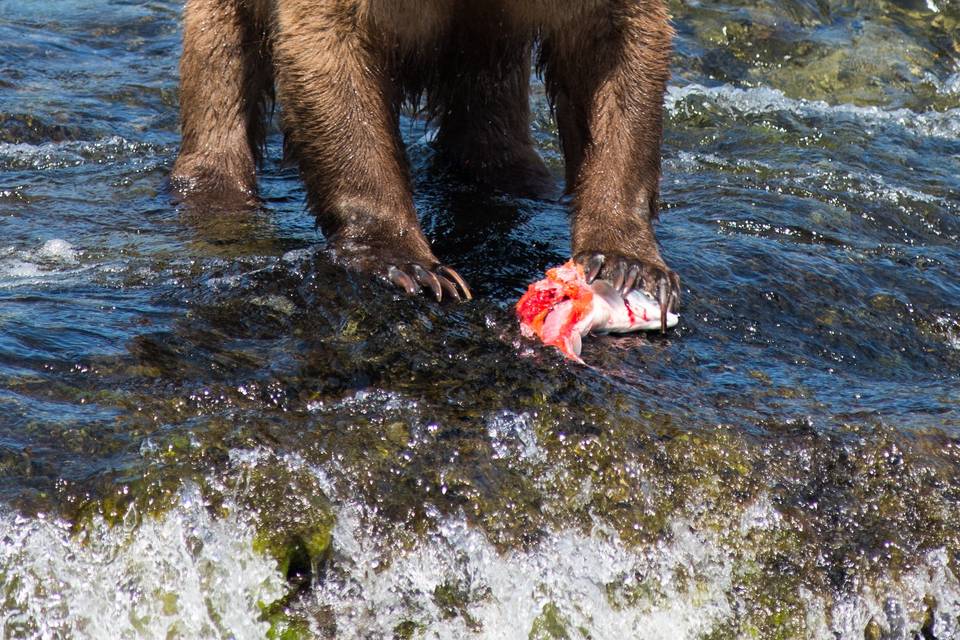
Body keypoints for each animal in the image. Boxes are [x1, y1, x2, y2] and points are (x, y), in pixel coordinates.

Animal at [174, 0, 684, 318]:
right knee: (219, 56)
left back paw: (514, 172)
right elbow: (329, 44)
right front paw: (411, 266)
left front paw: (626, 261)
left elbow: (618, 48)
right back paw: (215, 183)